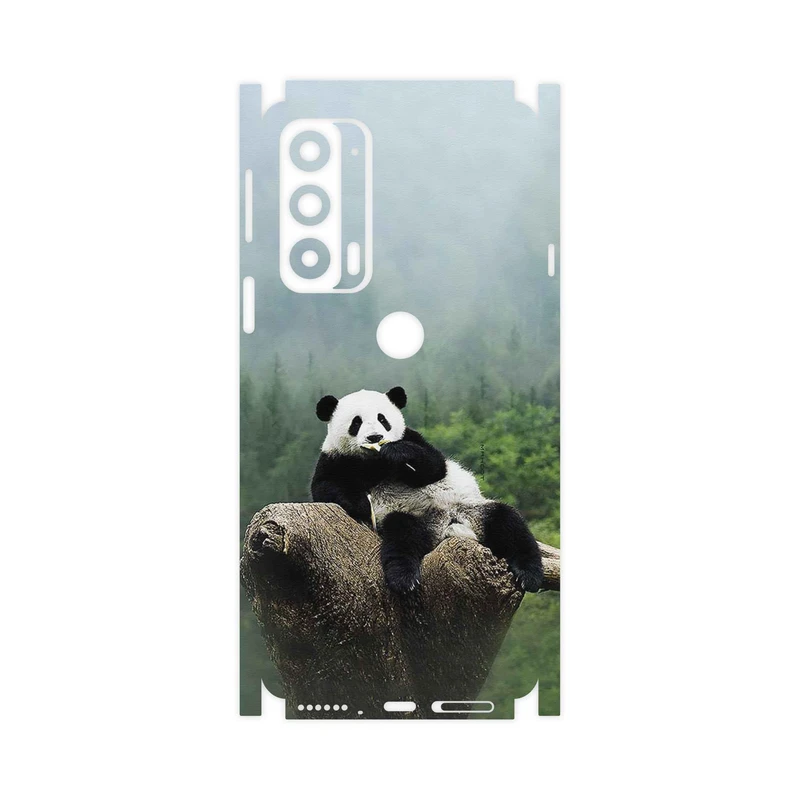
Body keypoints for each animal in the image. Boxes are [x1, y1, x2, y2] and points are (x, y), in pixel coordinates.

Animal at [311, 386, 544, 594]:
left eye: (382, 419)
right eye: (356, 422)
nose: (375, 438)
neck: (374, 461)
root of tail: (448, 524)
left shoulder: (412, 438)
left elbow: (435, 466)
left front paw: (397, 452)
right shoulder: (335, 458)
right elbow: (325, 488)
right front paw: (361, 504)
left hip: (473, 509)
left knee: (508, 523)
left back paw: (529, 574)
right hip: (414, 518)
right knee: (402, 536)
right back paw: (404, 579)